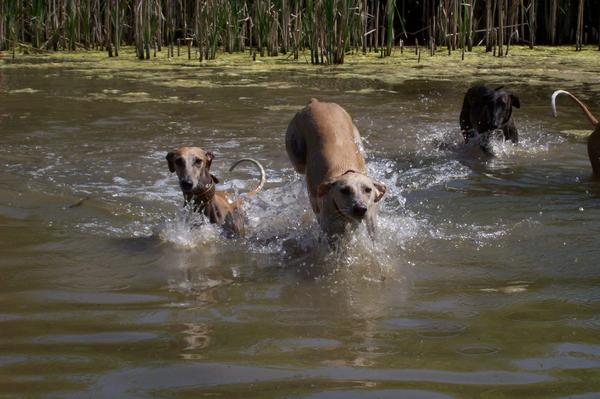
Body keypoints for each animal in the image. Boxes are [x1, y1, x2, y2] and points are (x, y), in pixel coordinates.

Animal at [288, 98, 386, 239]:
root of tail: (315, 103)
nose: (360, 208)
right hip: (296, 153)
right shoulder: (330, 229)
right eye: (344, 190)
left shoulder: (371, 219)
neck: (345, 171)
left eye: (368, 189)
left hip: (358, 141)